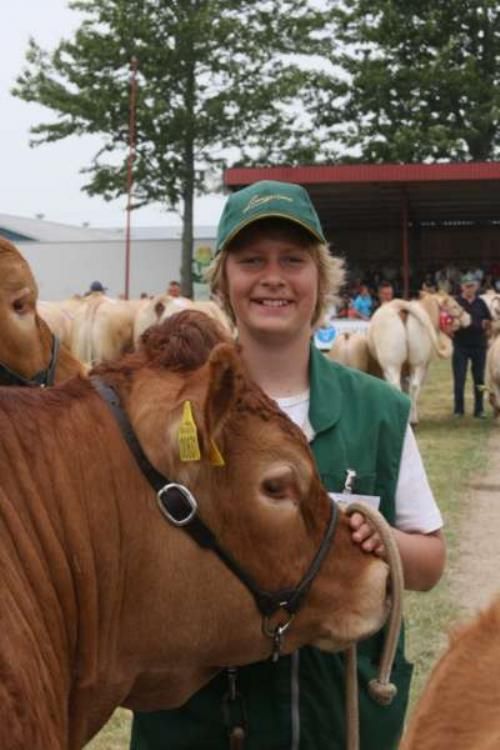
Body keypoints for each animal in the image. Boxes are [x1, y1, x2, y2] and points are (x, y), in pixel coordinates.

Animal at [366, 292, 470, 426]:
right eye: (455, 306)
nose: (468, 317)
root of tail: (401, 306)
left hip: (393, 364)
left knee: (399, 386)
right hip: (417, 363)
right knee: (414, 386)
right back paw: (412, 419)